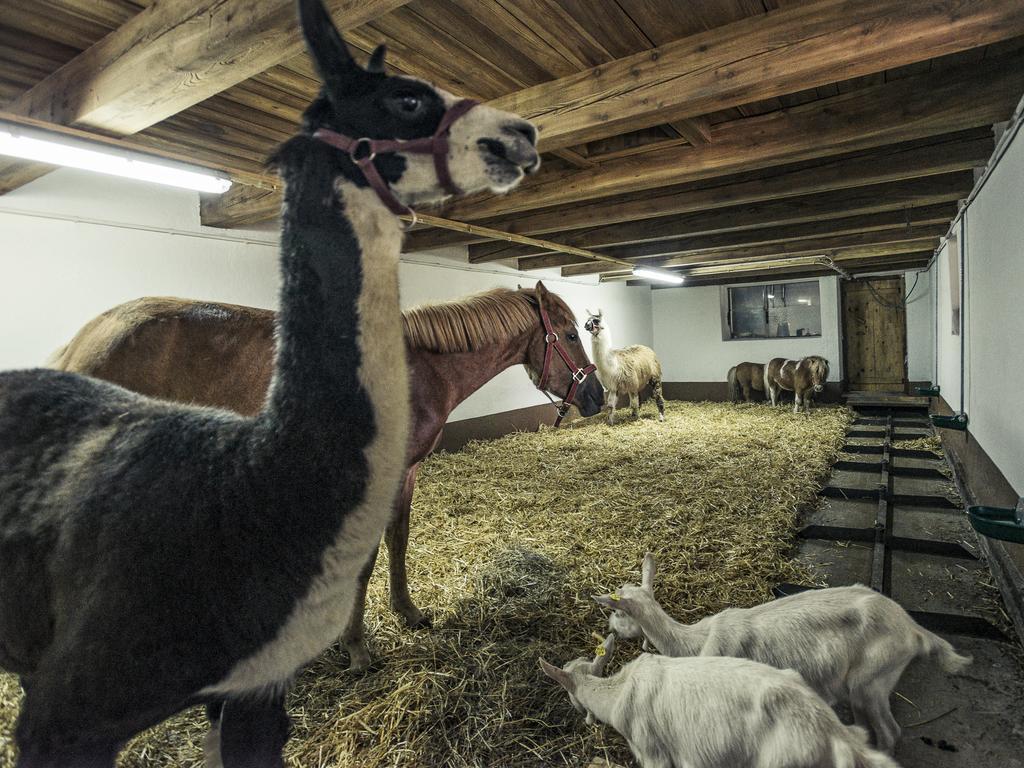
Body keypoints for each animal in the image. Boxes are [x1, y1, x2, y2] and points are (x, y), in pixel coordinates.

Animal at [49, 280, 606, 667]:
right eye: (571, 334)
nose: (597, 396)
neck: (413, 368)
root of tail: (81, 342)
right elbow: (364, 559)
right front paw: (357, 648)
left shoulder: (406, 473)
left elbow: (398, 540)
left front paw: (408, 612)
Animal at [593, 557, 966, 753]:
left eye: (617, 612)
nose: (610, 630)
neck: (694, 640)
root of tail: (914, 630)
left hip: (873, 680)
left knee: (890, 732)